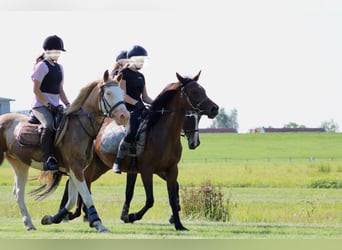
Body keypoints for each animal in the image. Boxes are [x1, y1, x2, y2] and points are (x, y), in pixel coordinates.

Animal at [0, 70, 130, 232]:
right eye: (109, 93)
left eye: (122, 93)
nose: (124, 116)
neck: (80, 128)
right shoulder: (75, 168)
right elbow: (86, 196)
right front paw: (98, 224)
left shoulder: (75, 170)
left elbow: (72, 200)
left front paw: (51, 218)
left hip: (20, 164)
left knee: (18, 192)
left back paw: (29, 224)